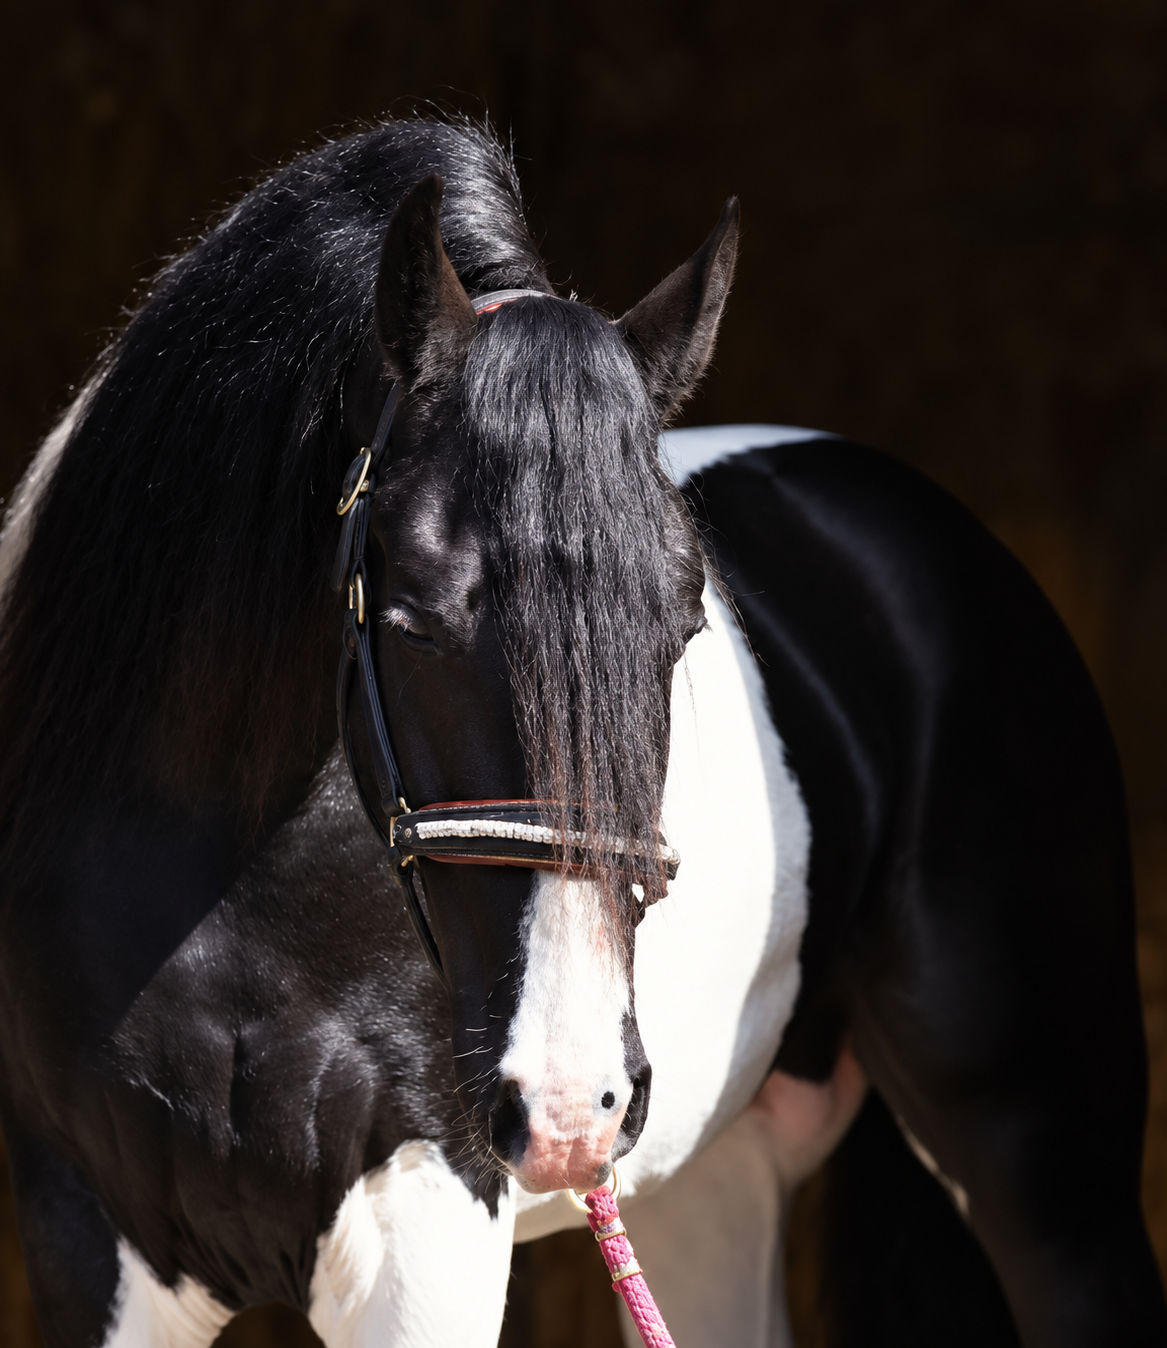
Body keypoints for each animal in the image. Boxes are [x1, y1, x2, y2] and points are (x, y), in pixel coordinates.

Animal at [0, 117, 1162, 1348]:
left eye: (684, 621)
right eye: (413, 616)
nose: (572, 1102)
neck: (222, 919)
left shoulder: (429, 1224)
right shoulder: (84, 1240)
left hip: (1047, 1169)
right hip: (718, 1178)